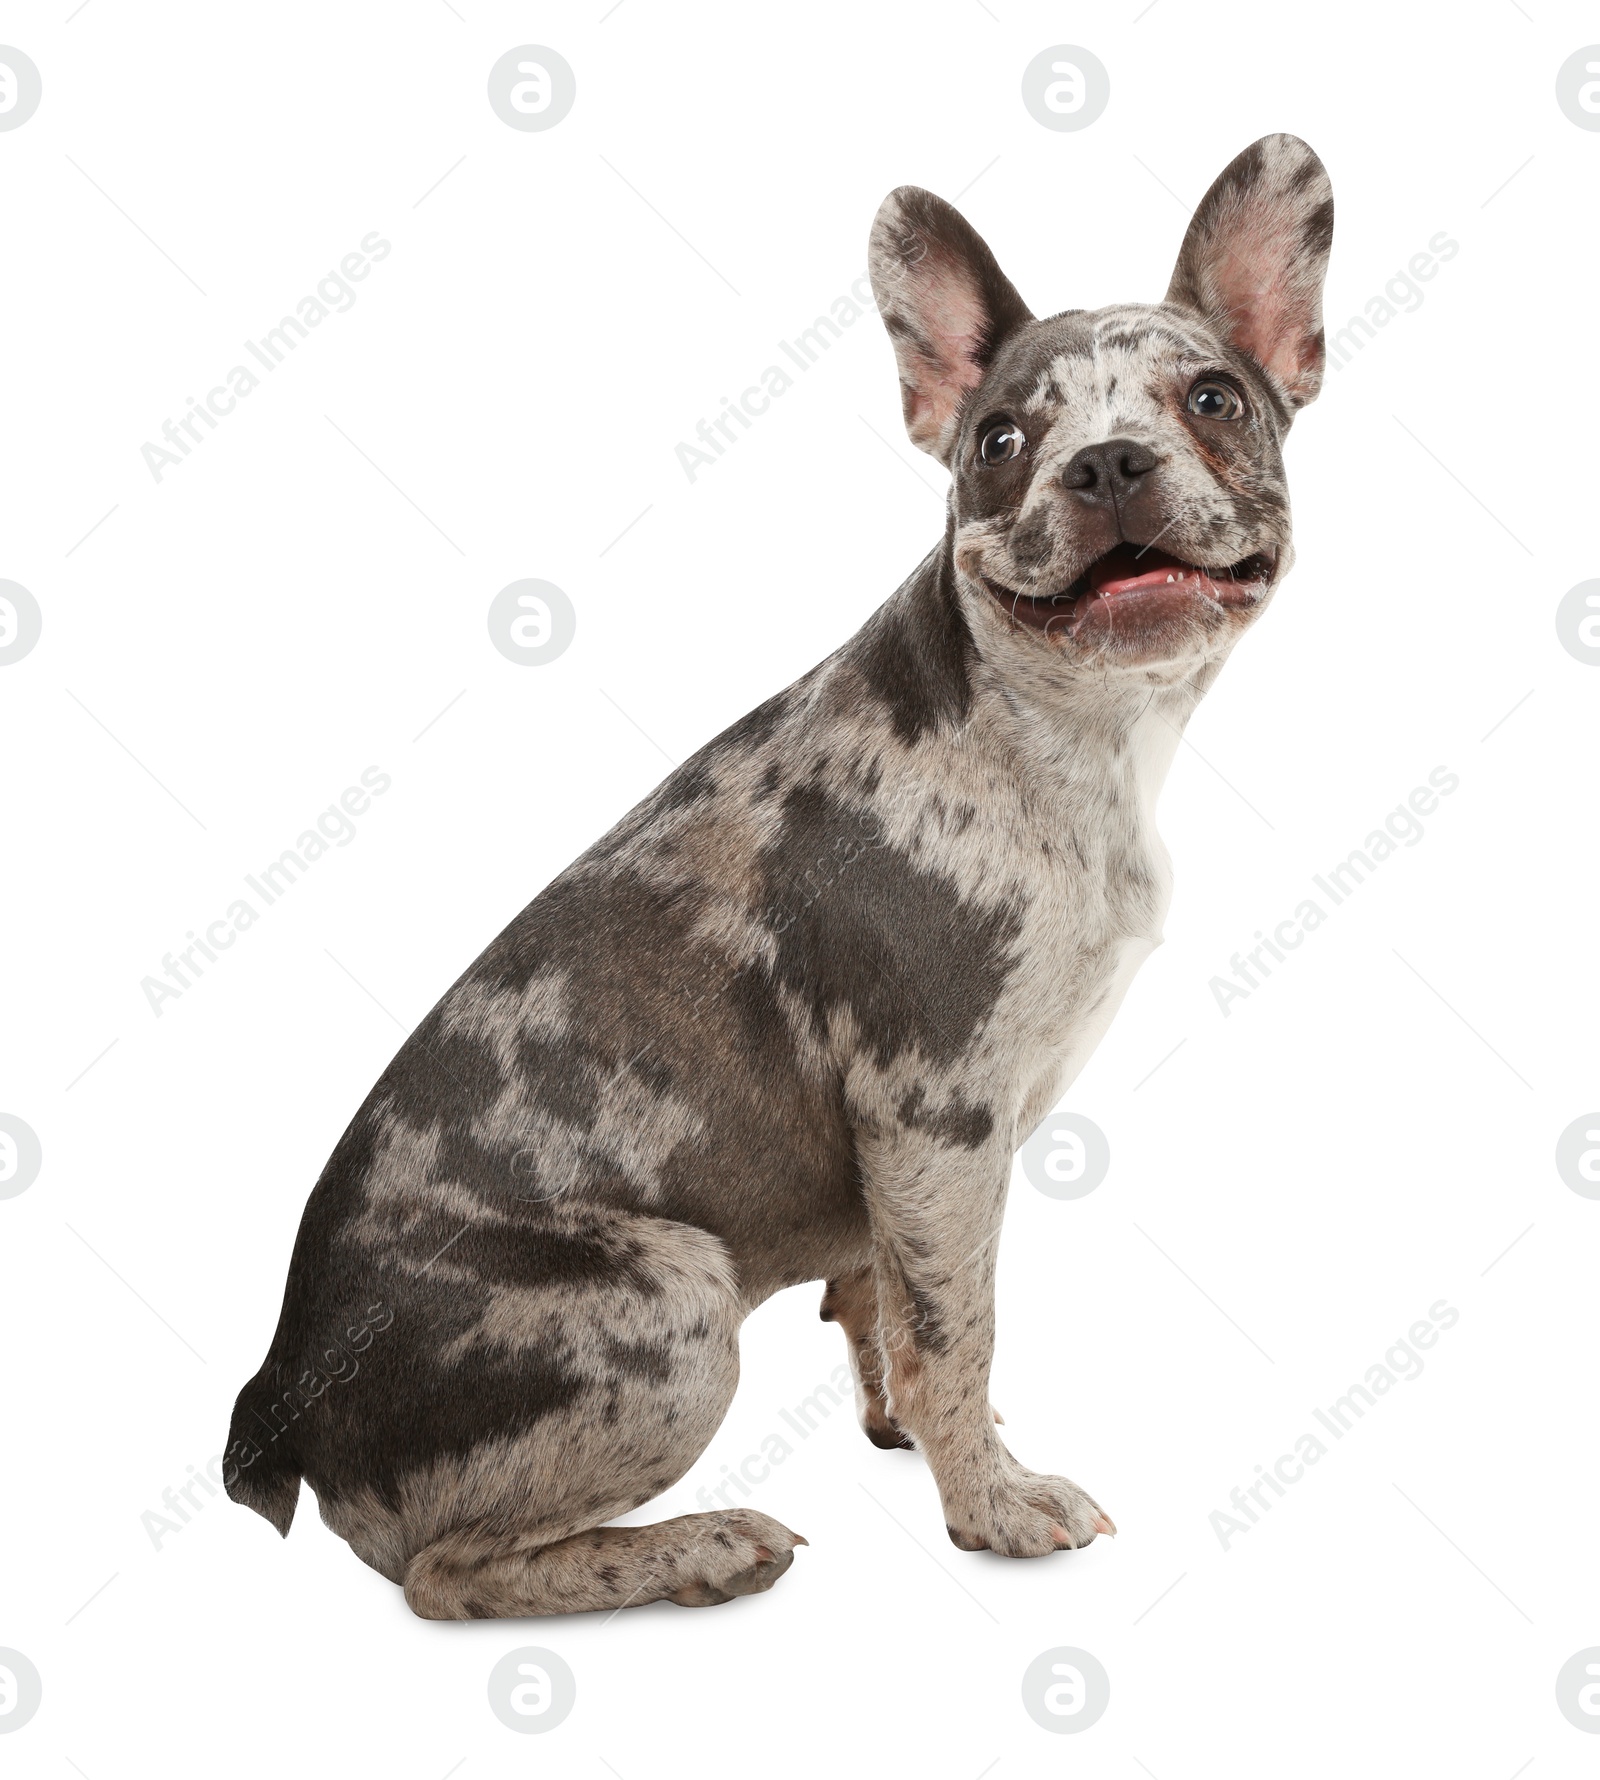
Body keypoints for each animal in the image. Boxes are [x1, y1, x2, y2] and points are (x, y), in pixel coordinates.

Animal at [222, 131, 1324, 1623]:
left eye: (1214, 399)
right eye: (1001, 442)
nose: (1105, 463)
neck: (1062, 729)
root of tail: (282, 1398)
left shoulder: (906, 1157)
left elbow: (886, 1305)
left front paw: (921, 1443)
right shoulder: (939, 1113)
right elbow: (957, 1325)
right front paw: (992, 1505)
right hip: (673, 1298)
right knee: (450, 1575)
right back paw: (693, 1548)